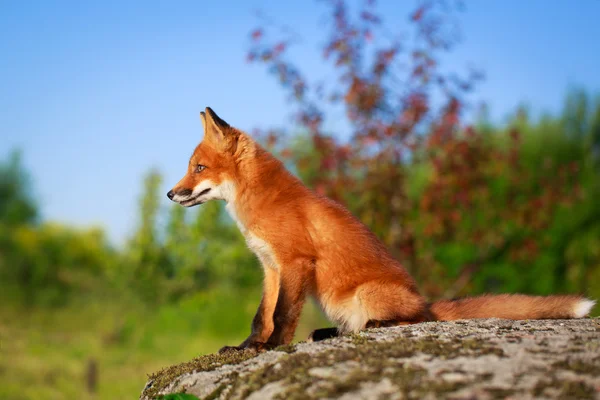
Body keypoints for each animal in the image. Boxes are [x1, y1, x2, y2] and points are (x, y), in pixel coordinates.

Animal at [166, 108, 592, 352]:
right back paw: (329, 334)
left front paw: (272, 348)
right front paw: (246, 347)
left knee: (413, 322)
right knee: (353, 328)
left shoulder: (296, 262)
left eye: (199, 168)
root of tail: (424, 300)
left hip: (366, 295)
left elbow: (283, 315)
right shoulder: (271, 267)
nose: (171, 193)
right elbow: (262, 315)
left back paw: (374, 326)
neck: (260, 201)